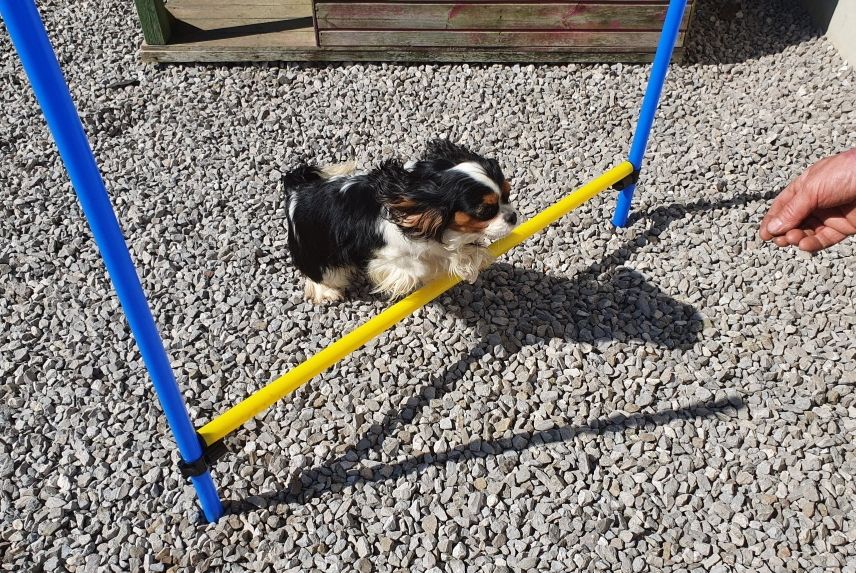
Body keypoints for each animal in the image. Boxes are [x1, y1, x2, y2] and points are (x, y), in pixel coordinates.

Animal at [284, 139, 520, 302]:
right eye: (485, 211)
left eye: (507, 194)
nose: (513, 216)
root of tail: (297, 191)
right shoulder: (388, 257)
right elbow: (420, 266)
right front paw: (457, 261)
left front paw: (468, 256)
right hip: (317, 254)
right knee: (319, 275)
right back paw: (327, 292)